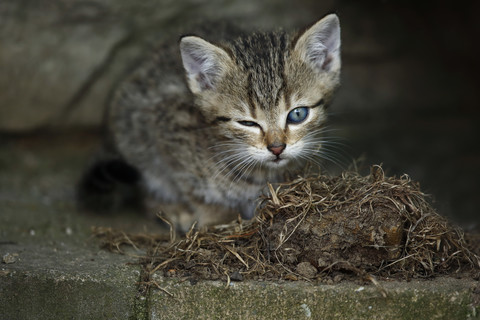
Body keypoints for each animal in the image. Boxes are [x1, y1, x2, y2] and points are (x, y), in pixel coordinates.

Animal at [81, 13, 342, 231]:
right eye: (247, 123)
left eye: (297, 115)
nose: (277, 148)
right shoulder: (165, 129)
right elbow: (191, 187)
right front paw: (217, 217)